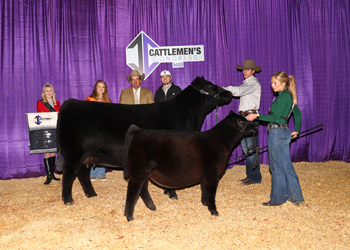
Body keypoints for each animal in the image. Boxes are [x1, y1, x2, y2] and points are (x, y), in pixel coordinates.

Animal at [57, 76, 232, 205]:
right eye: (209, 85)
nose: (229, 93)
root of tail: (71, 102)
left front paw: (168, 191)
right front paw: (172, 193)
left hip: (87, 155)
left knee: (82, 174)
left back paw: (91, 194)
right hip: (73, 153)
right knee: (69, 175)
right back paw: (68, 200)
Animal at [122, 111, 258, 221]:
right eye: (241, 121)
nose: (256, 125)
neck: (220, 142)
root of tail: (137, 130)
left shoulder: (205, 175)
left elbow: (204, 191)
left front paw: (205, 204)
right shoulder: (212, 173)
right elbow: (211, 193)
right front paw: (214, 211)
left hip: (145, 173)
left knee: (143, 190)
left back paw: (152, 207)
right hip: (138, 172)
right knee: (132, 192)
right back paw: (129, 217)